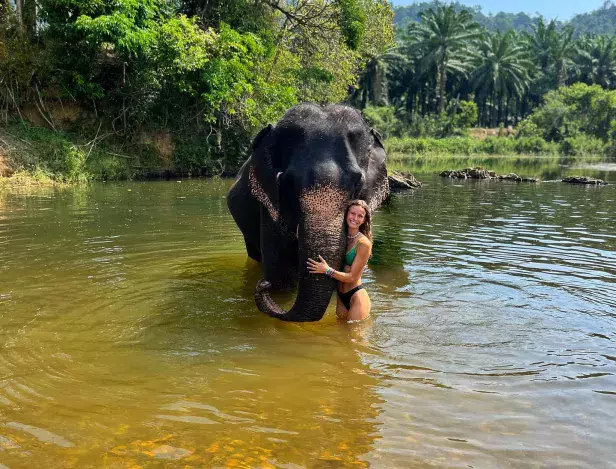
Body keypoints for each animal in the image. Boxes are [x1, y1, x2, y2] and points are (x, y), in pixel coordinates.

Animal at [226, 103, 390, 322]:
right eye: (287, 182)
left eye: (358, 182)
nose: (263, 285)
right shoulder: (270, 206)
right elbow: (281, 275)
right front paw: (277, 286)